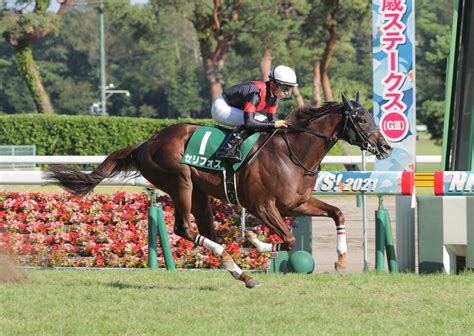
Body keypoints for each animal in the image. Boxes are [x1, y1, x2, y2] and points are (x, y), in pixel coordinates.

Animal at [45, 94, 392, 288]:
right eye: (360, 118)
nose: (386, 146)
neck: (293, 151)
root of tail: (146, 142)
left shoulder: (297, 203)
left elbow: (337, 213)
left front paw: (342, 262)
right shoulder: (263, 206)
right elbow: (290, 239)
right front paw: (258, 242)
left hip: (199, 193)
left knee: (207, 232)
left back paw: (240, 272)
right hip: (180, 182)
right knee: (184, 229)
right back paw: (237, 265)